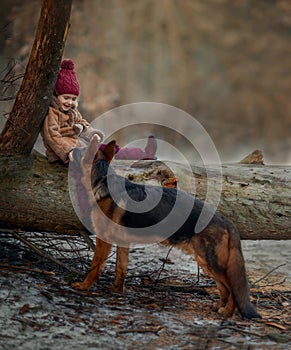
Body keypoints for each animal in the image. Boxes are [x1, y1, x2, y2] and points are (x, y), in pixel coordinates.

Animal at [72, 137, 262, 320]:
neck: (102, 180)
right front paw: (117, 290)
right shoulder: (122, 244)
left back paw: (228, 312)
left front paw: (84, 286)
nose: (72, 149)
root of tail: (226, 221)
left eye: (81, 150)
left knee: (231, 289)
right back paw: (219, 307)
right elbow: (121, 269)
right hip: (205, 262)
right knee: (224, 288)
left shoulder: (103, 241)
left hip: (210, 262)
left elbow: (95, 267)